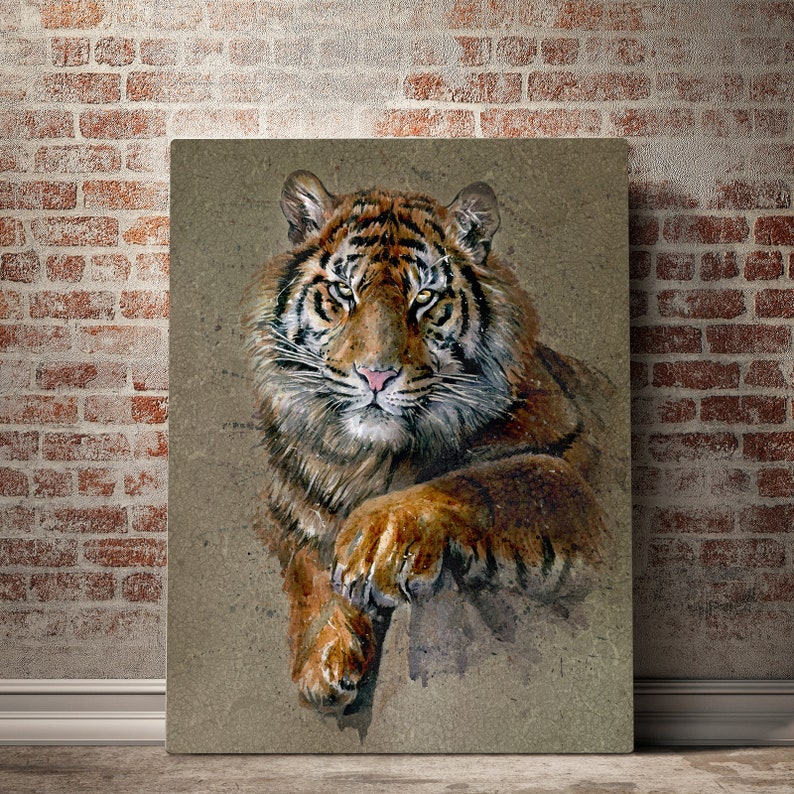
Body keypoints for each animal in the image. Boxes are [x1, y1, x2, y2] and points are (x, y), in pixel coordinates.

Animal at [241, 170, 607, 720]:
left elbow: (488, 480)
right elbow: (309, 567)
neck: (371, 461)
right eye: (344, 292)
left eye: (425, 299)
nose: (376, 375)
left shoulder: (572, 471)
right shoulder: (293, 511)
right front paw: (324, 659)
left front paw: (377, 539)